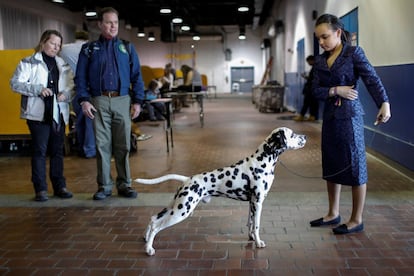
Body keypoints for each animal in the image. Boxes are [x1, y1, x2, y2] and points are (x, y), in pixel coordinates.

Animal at [134, 128, 306, 256]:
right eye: (292, 134)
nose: (305, 136)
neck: (262, 161)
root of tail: (187, 179)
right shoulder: (258, 202)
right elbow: (256, 225)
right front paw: (258, 242)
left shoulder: (251, 203)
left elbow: (250, 223)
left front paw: (251, 238)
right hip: (181, 211)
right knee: (157, 226)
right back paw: (149, 249)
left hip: (174, 206)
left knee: (153, 219)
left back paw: (145, 239)